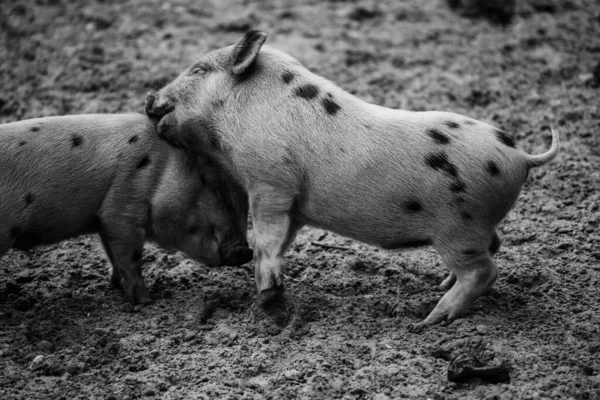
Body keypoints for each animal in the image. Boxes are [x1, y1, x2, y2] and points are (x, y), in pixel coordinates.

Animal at [0, 114, 252, 304]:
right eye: (208, 182)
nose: (246, 251)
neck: (161, 170)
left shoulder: (103, 219)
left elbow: (114, 255)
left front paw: (116, 286)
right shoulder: (122, 210)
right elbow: (130, 257)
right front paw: (146, 301)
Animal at [148, 32, 560, 328]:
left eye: (199, 70)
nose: (151, 98)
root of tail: (521, 156)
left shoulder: (270, 181)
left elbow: (265, 240)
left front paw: (265, 295)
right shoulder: (291, 203)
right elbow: (281, 242)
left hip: (459, 228)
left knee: (484, 271)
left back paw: (427, 320)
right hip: (474, 228)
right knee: (495, 246)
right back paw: (440, 286)